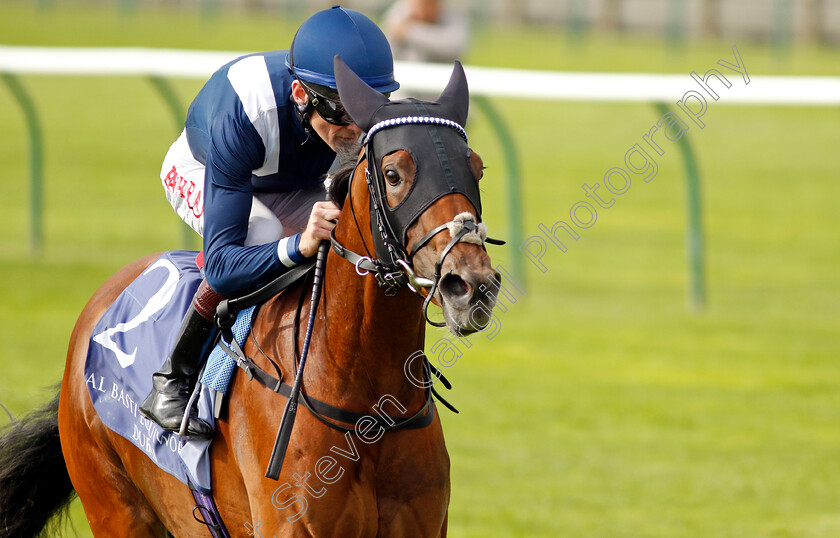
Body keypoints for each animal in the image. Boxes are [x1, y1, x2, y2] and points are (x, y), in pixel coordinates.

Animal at [0, 58, 498, 536]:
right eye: (393, 174)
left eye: (477, 168)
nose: (470, 284)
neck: (362, 399)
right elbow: (225, 256)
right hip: (115, 508)